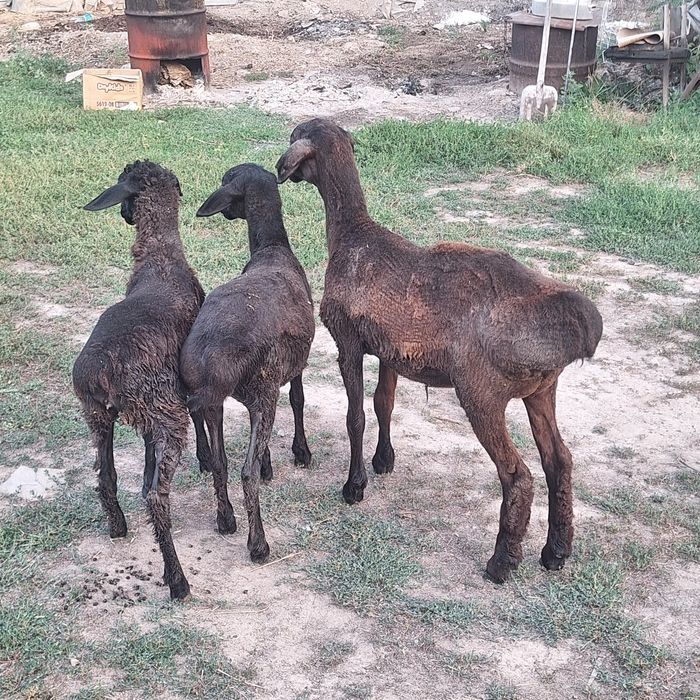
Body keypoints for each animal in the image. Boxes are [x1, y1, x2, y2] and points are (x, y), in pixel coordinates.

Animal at [73, 161, 205, 600]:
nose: (125, 214)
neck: (160, 256)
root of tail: (100, 369)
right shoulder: (178, 389)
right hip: (165, 412)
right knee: (156, 498)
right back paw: (177, 580)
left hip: (98, 414)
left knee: (106, 477)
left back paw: (117, 528)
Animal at [180, 163, 314, 563]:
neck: (272, 248)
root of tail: (215, 358)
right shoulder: (291, 369)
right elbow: (298, 401)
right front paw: (301, 453)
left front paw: (271, 461)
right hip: (262, 388)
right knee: (245, 472)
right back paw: (258, 544)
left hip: (213, 401)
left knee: (220, 463)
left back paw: (226, 519)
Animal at [276, 119, 603, 583]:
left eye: (295, 139)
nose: (278, 170)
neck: (352, 233)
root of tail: (573, 325)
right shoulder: (390, 350)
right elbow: (384, 404)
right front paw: (383, 461)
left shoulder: (348, 342)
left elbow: (356, 416)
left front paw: (354, 486)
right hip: (542, 389)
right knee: (559, 461)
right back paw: (555, 552)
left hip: (482, 392)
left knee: (517, 474)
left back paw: (502, 562)